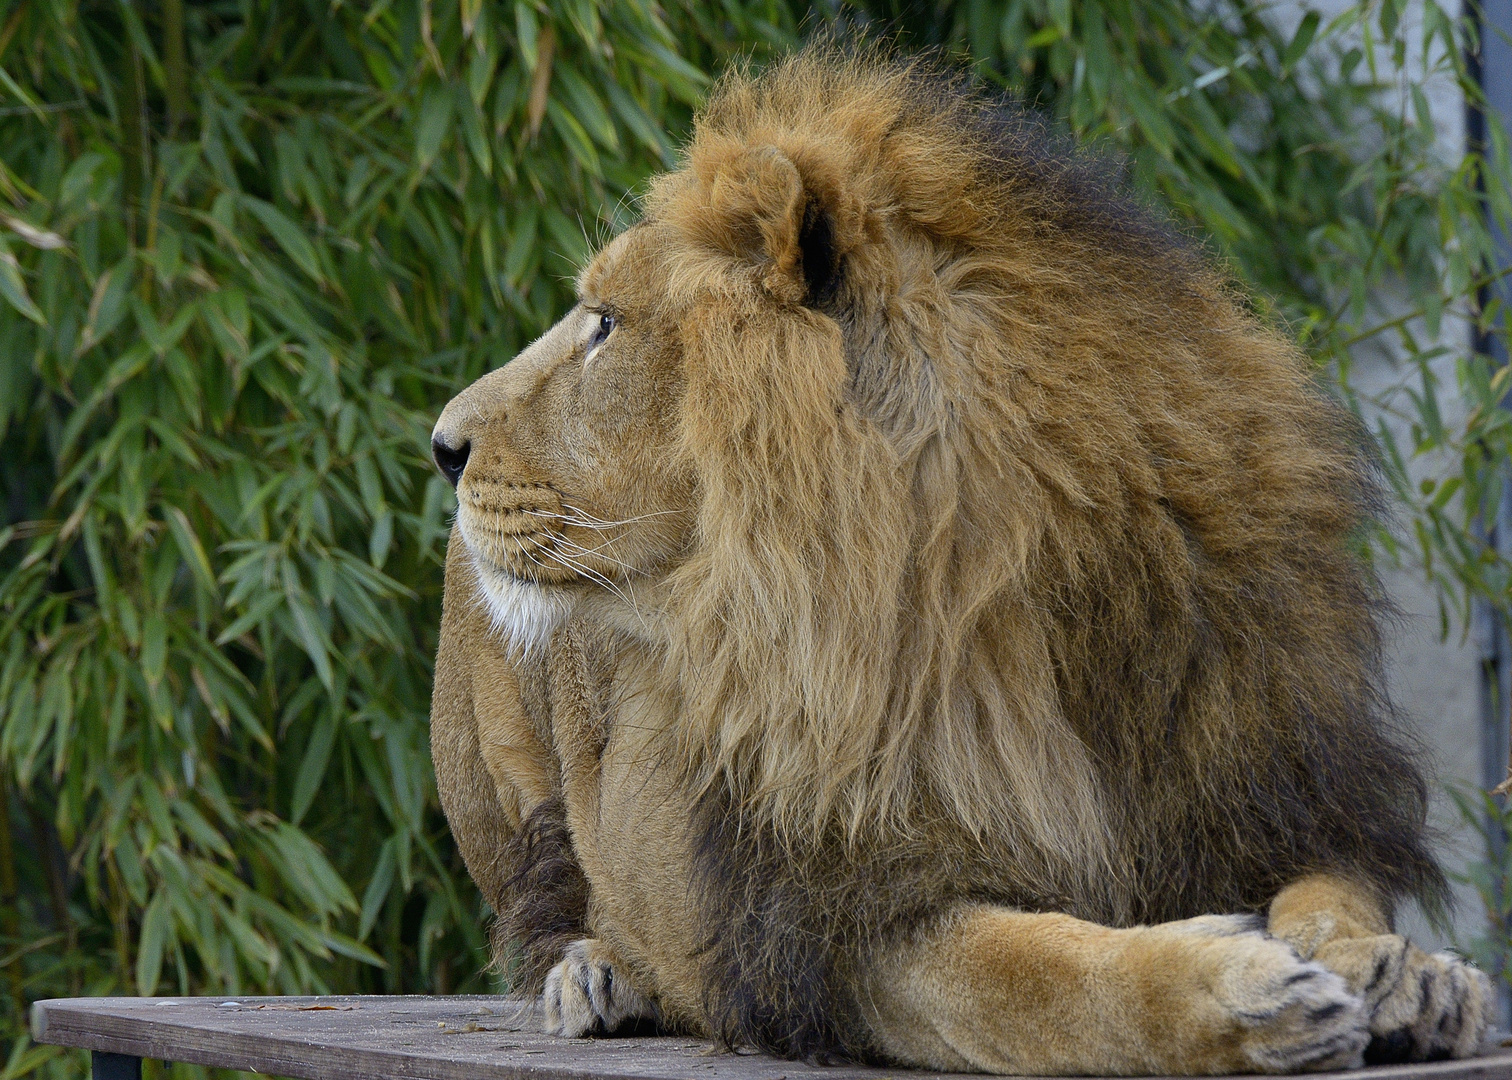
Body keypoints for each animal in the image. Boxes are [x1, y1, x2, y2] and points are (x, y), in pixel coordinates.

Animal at [423, 46, 1487, 1070]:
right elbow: (1035, 976)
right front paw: (1233, 991)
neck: (1007, 594)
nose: (439, 445)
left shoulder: (1274, 784)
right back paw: (596, 975)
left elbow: (1328, 893)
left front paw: (1405, 970)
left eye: (605, 323)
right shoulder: (842, 906)